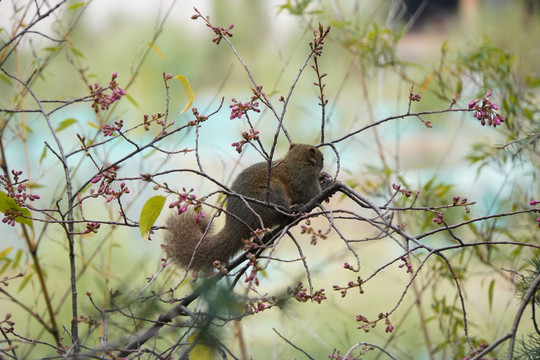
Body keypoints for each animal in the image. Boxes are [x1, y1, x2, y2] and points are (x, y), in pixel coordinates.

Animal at [163, 143, 324, 270]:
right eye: (322, 158)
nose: (323, 161)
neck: (296, 159)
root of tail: (236, 226)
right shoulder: (304, 178)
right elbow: (312, 195)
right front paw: (326, 181)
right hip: (272, 194)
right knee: (279, 215)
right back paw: (291, 211)